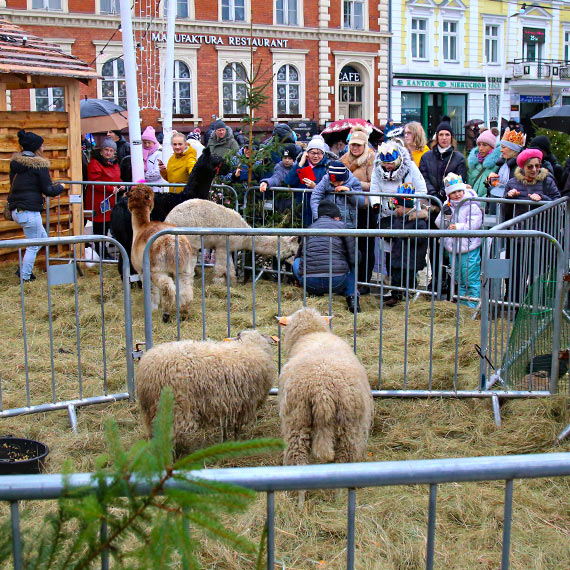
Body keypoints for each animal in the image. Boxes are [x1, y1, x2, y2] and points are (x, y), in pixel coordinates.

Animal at [135, 328, 276, 448]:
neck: (250, 346)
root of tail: (145, 371)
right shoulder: (244, 403)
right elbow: (237, 427)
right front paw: (236, 442)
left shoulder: (225, 403)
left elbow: (224, 426)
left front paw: (224, 442)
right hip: (175, 408)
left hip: (150, 412)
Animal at [164, 199, 298, 284]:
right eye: (292, 252)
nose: (295, 264)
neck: (245, 237)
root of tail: (169, 219)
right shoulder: (222, 246)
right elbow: (220, 267)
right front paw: (218, 282)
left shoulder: (228, 247)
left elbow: (231, 267)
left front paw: (233, 282)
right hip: (190, 241)